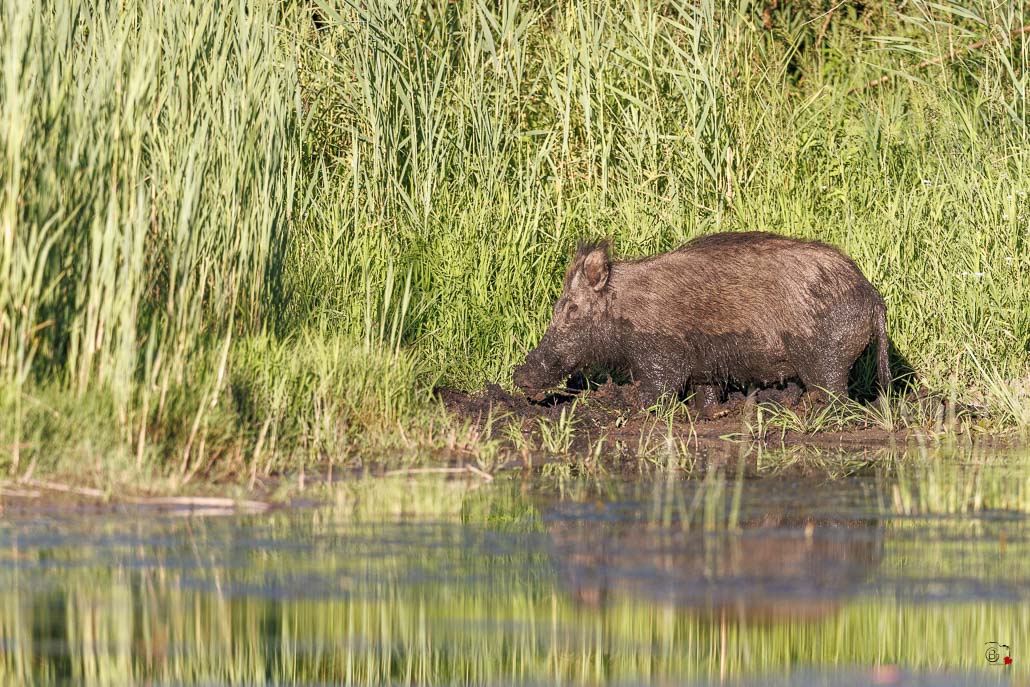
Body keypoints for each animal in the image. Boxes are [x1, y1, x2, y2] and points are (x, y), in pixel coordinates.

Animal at [512, 231, 890, 413]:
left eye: (571, 308)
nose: (519, 375)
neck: (625, 312)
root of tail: (873, 296)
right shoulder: (704, 363)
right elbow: (703, 392)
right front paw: (715, 414)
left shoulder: (662, 353)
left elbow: (658, 388)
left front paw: (630, 406)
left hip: (825, 356)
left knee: (835, 395)